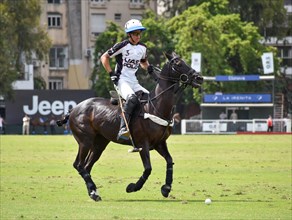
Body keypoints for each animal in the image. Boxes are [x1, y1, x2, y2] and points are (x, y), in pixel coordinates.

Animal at [56, 51, 203, 201]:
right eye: (178, 63)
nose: (199, 78)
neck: (155, 107)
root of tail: (73, 109)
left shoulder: (160, 143)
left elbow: (169, 161)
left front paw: (166, 188)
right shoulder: (142, 143)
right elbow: (148, 168)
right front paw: (132, 187)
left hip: (100, 143)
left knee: (86, 166)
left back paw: (93, 192)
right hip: (85, 141)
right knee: (79, 164)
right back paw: (93, 191)